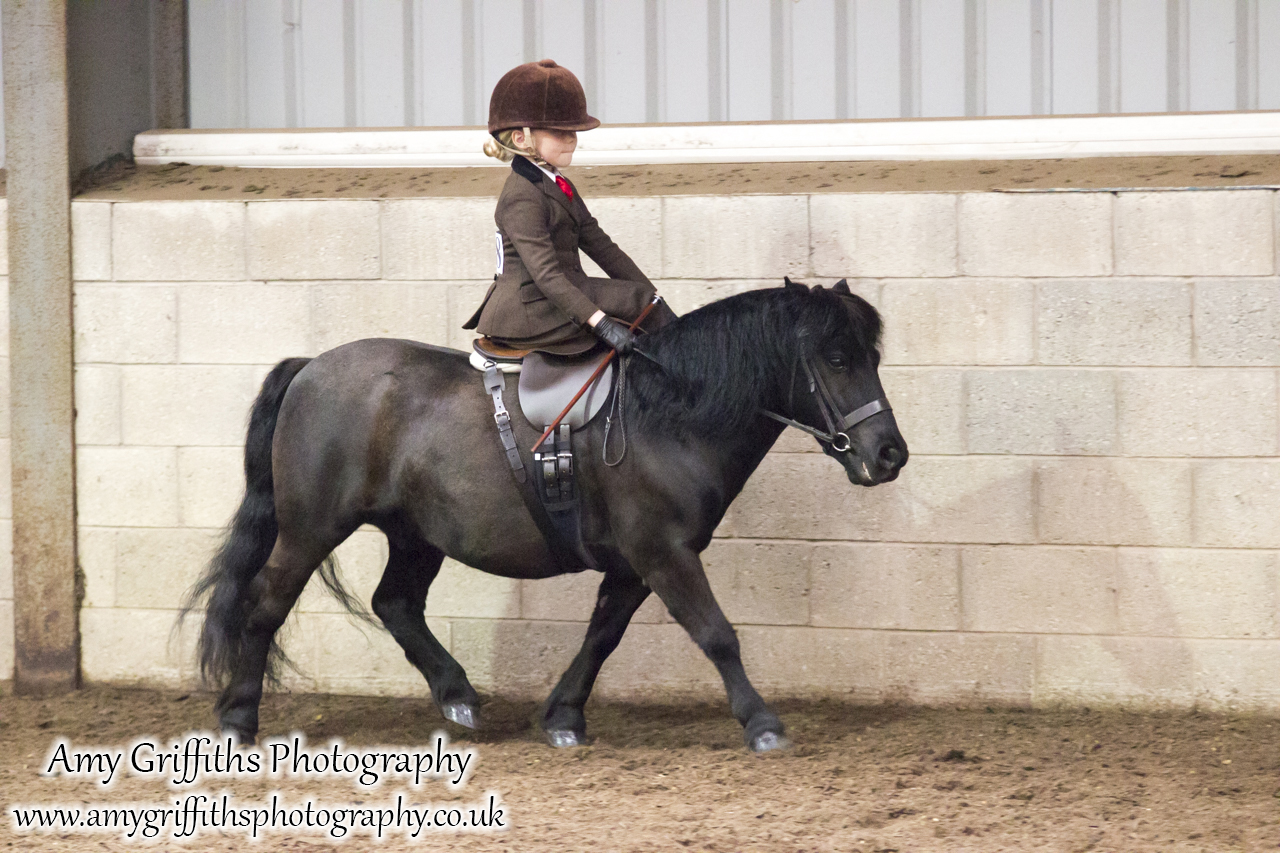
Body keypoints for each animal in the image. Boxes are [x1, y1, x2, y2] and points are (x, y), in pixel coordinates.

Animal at [189, 277, 911, 753]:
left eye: (873, 356)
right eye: (837, 358)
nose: (889, 454)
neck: (670, 412)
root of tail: (312, 367)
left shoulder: (637, 562)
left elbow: (602, 635)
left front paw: (564, 716)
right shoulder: (664, 552)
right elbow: (716, 633)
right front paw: (761, 722)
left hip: (415, 533)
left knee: (395, 602)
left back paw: (458, 696)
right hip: (311, 527)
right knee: (265, 604)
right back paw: (239, 720)